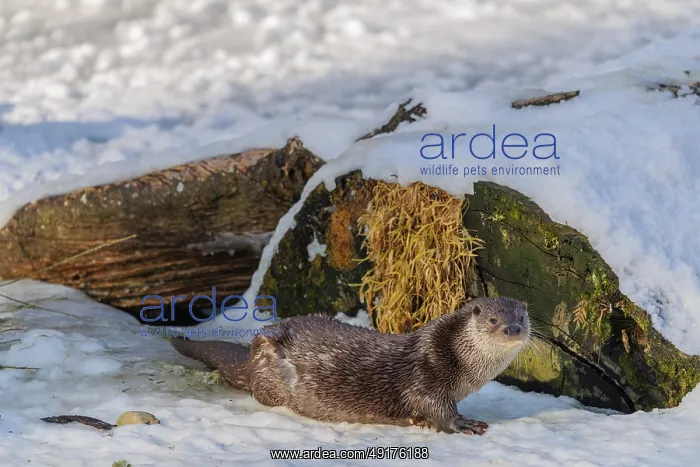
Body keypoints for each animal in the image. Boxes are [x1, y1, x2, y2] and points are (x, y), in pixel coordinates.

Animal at [171, 296, 529, 435]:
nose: (514, 329)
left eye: (523, 317)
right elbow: (435, 408)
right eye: (494, 319)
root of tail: (252, 353)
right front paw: (462, 423)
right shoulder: (426, 375)